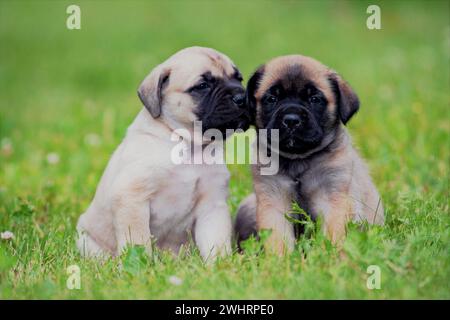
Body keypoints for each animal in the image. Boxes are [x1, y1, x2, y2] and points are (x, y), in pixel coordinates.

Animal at [78, 48, 251, 262]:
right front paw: (142, 265)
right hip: (87, 242)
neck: (190, 147)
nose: (242, 97)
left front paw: (220, 264)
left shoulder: (212, 206)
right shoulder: (132, 198)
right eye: (202, 86)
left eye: (239, 79)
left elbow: (216, 242)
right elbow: (138, 241)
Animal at [236, 55, 384, 255]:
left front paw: (331, 257)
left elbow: (333, 235)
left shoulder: (333, 199)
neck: (298, 161)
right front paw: (280, 260)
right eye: (272, 98)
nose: (291, 120)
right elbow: (278, 239)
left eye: (314, 99)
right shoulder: (273, 201)